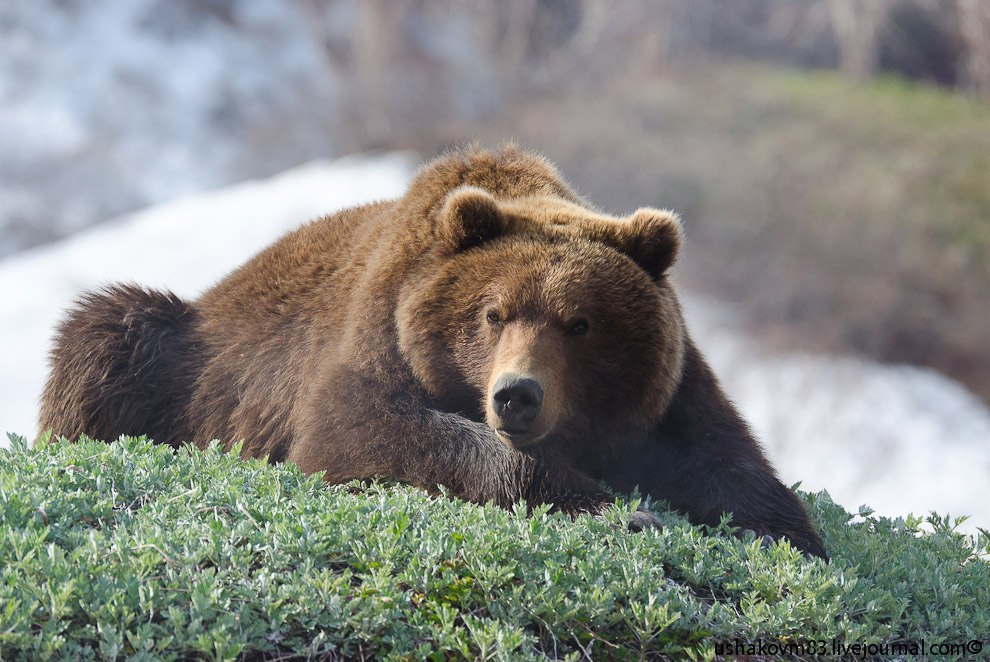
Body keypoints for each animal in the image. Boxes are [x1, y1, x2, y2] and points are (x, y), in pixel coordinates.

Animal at [38, 145, 828, 560]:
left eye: (580, 323)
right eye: (493, 313)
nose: (517, 395)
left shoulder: (670, 392)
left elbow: (731, 466)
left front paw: (786, 535)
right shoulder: (375, 342)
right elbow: (367, 435)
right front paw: (623, 512)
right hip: (180, 357)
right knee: (106, 329)